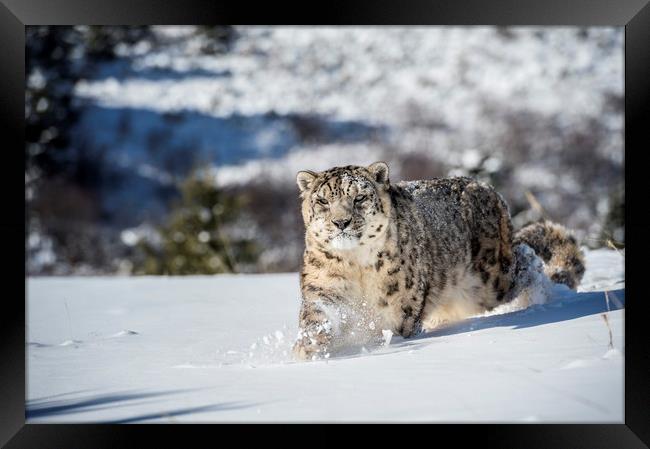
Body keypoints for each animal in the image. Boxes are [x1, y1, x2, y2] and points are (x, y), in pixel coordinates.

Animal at [292, 162, 584, 360]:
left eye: (359, 197)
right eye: (322, 201)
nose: (341, 222)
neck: (355, 265)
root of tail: (488, 188)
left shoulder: (400, 307)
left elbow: (393, 331)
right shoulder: (324, 289)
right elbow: (316, 319)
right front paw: (307, 350)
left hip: (490, 282)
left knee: (527, 259)